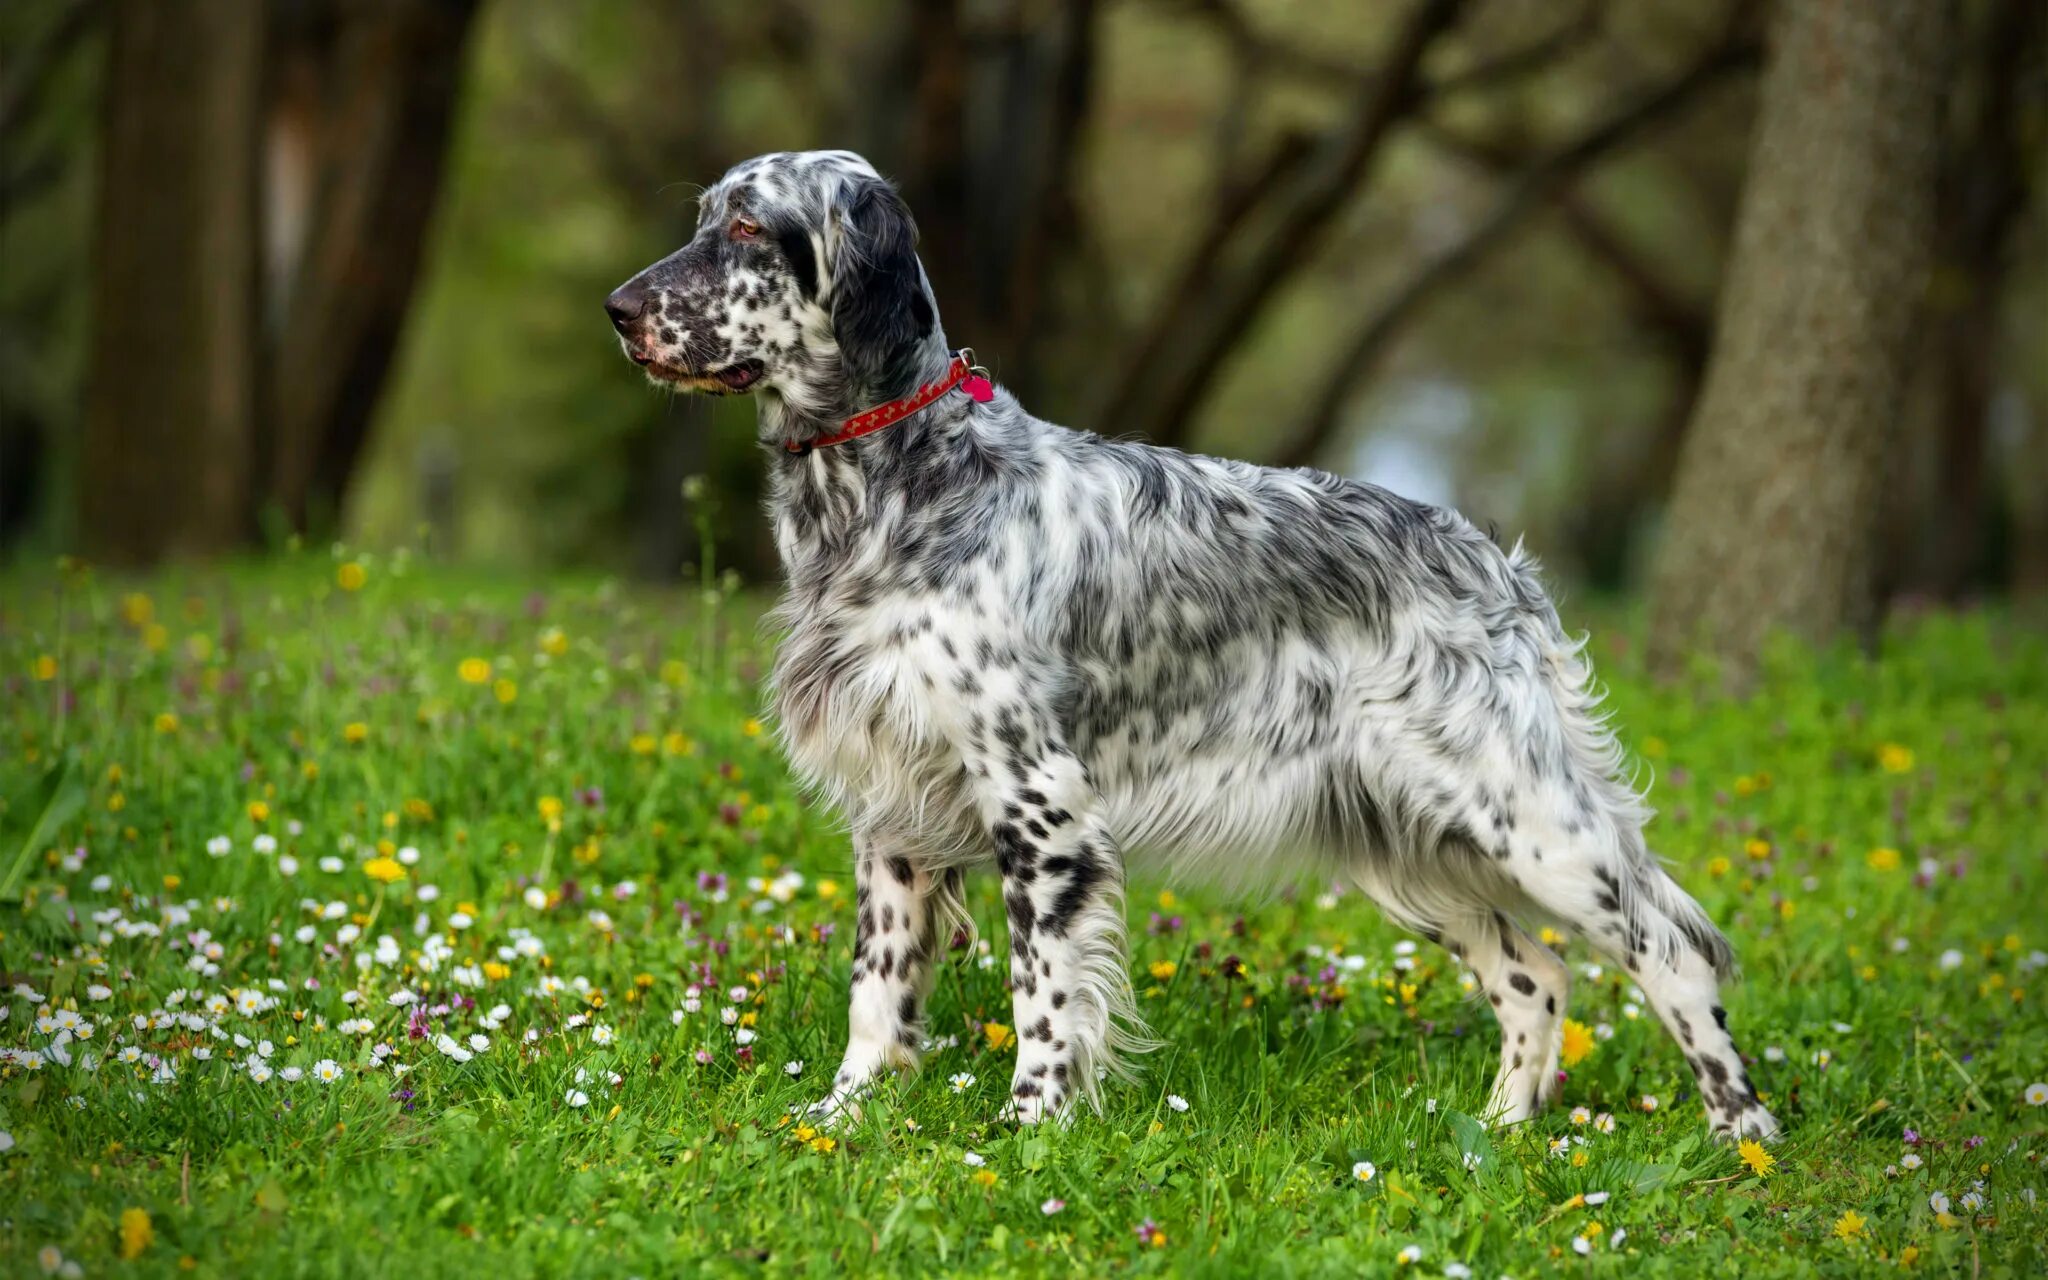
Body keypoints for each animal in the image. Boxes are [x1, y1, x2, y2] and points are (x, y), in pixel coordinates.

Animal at [602, 149, 1777, 1138]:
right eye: (703, 217)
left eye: (750, 227)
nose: (616, 310)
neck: (902, 484)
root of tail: (1493, 558)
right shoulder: (893, 809)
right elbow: (876, 992)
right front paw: (842, 1118)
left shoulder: (1039, 805)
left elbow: (1042, 992)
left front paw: (1028, 1129)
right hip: (1405, 844)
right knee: (1535, 977)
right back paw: (1500, 1132)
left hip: (1528, 820)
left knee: (1671, 948)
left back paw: (1742, 1136)